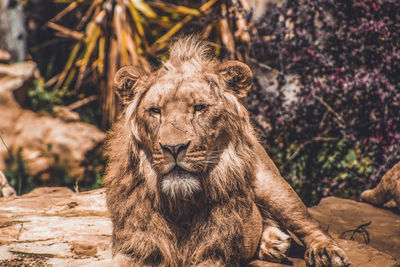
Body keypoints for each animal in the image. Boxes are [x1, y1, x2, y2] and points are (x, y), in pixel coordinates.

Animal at [104, 36, 350, 267]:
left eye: (200, 108)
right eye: (155, 111)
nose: (174, 147)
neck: (181, 205)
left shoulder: (216, 253)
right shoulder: (137, 248)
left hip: (272, 186)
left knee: (308, 223)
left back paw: (325, 252)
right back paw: (273, 243)